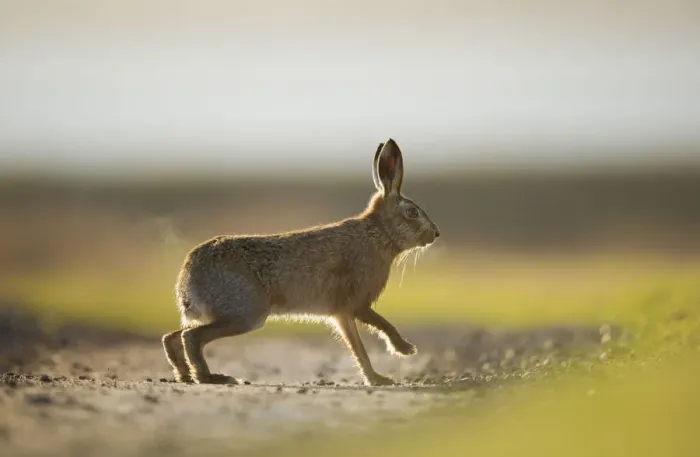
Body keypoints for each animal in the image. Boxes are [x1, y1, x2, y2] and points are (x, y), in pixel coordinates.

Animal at [162, 139, 440, 386]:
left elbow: (357, 348)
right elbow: (378, 328)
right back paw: (211, 378)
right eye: (412, 212)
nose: (435, 234)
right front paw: (403, 352)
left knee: (172, 337)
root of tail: (187, 279)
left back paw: (185, 376)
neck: (380, 232)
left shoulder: (342, 314)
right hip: (246, 313)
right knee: (191, 337)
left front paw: (376, 378)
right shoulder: (355, 304)